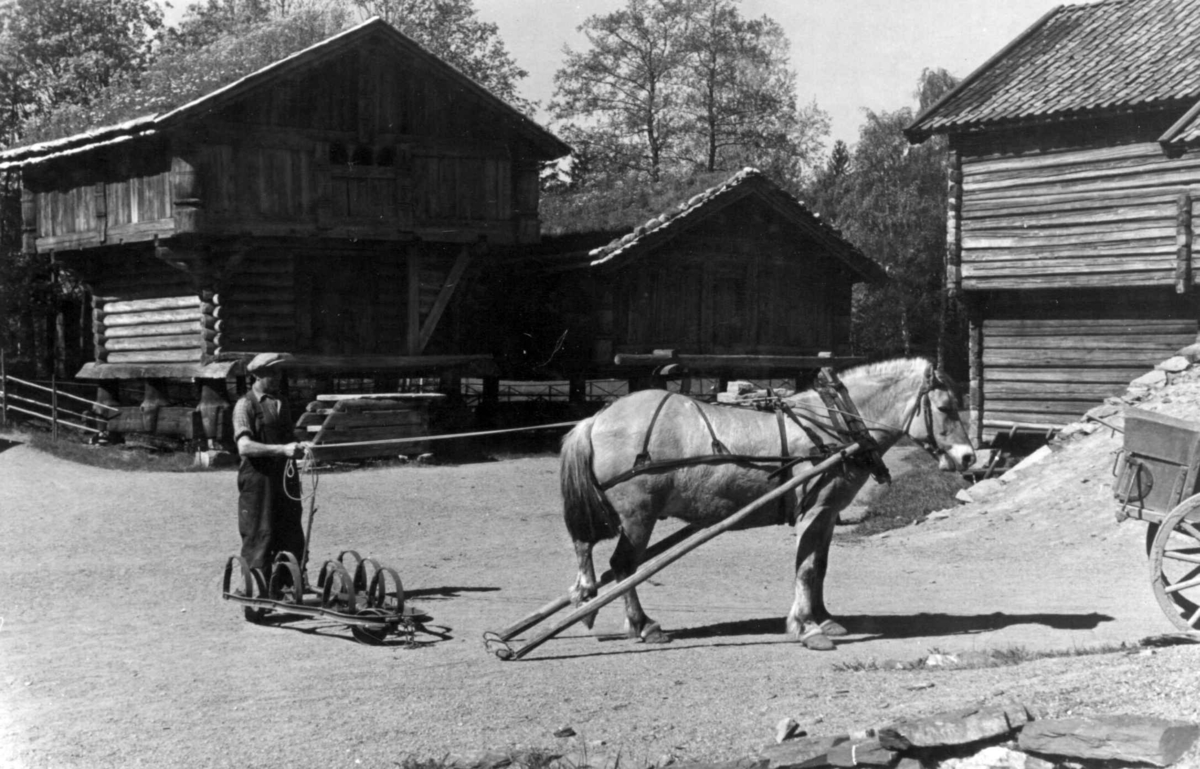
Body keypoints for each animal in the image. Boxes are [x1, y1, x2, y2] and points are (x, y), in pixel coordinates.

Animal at [559, 357, 974, 652]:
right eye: (945, 408)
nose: (969, 457)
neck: (834, 424)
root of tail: (595, 419)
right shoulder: (813, 510)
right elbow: (806, 569)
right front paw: (806, 627)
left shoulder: (828, 513)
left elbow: (820, 567)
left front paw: (824, 618)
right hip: (637, 516)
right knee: (623, 565)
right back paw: (643, 625)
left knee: (590, 549)